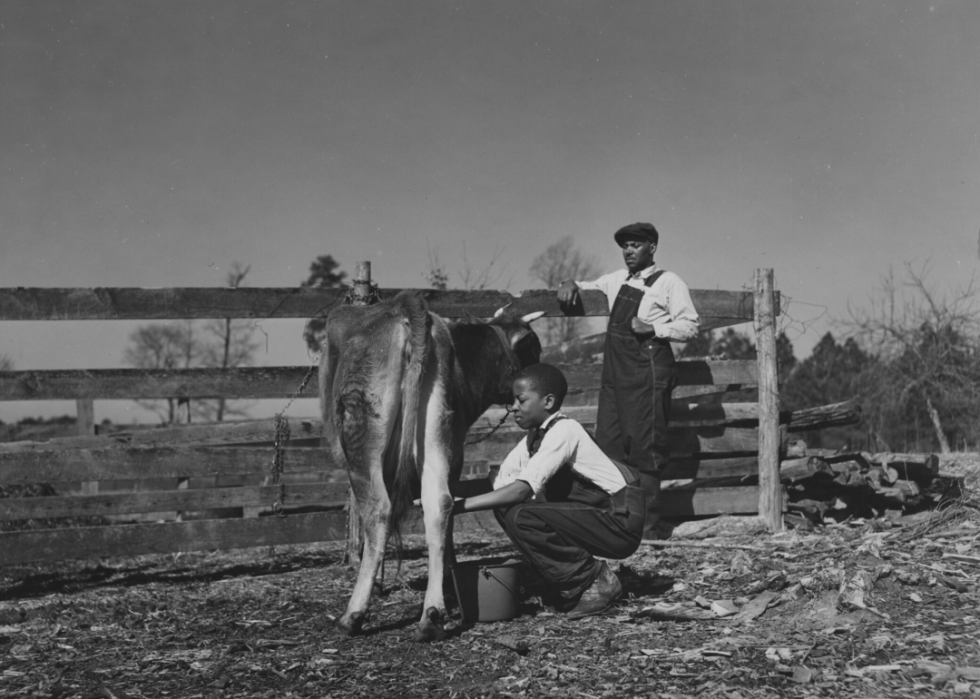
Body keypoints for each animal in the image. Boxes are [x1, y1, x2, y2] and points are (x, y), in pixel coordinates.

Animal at [320, 290, 544, 640]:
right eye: (534, 349)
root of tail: (404, 307)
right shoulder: (456, 454)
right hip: (436, 429)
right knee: (439, 505)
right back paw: (432, 614)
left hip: (362, 441)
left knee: (379, 509)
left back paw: (353, 615)